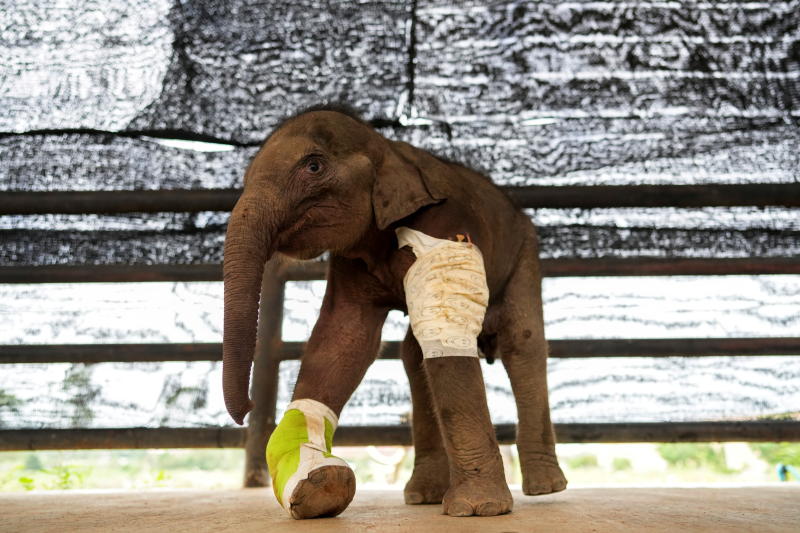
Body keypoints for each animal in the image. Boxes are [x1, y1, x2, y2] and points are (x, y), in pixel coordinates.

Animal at [222, 106, 564, 516]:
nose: (247, 409)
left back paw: (544, 488)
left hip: (524, 253)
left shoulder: (445, 228)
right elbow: (344, 338)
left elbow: (444, 328)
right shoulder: (348, 258)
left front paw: (480, 508)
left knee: (522, 343)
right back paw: (423, 495)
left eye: (314, 166)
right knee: (414, 355)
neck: (388, 149)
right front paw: (316, 484)